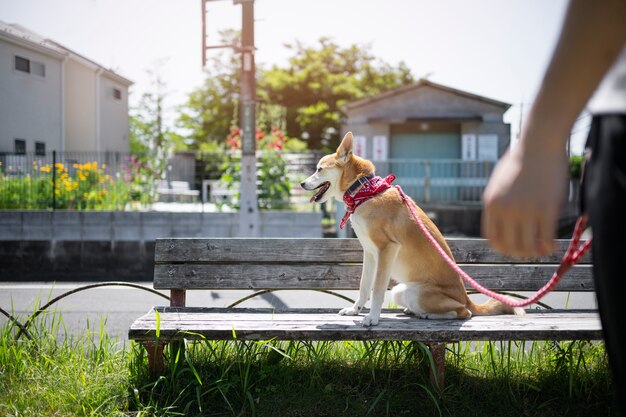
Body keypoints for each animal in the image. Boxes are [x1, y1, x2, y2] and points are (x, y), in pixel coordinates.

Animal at [298, 132, 520, 326]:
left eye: (319, 169)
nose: (301, 183)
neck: (364, 192)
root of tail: (467, 298)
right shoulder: (370, 253)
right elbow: (364, 286)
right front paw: (355, 310)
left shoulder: (387, 249)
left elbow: (377, 290)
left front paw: (372, 318)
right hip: (400, 291)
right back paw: (413, 311)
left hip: (420, 294)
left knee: (463, 312)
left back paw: (428, 315)